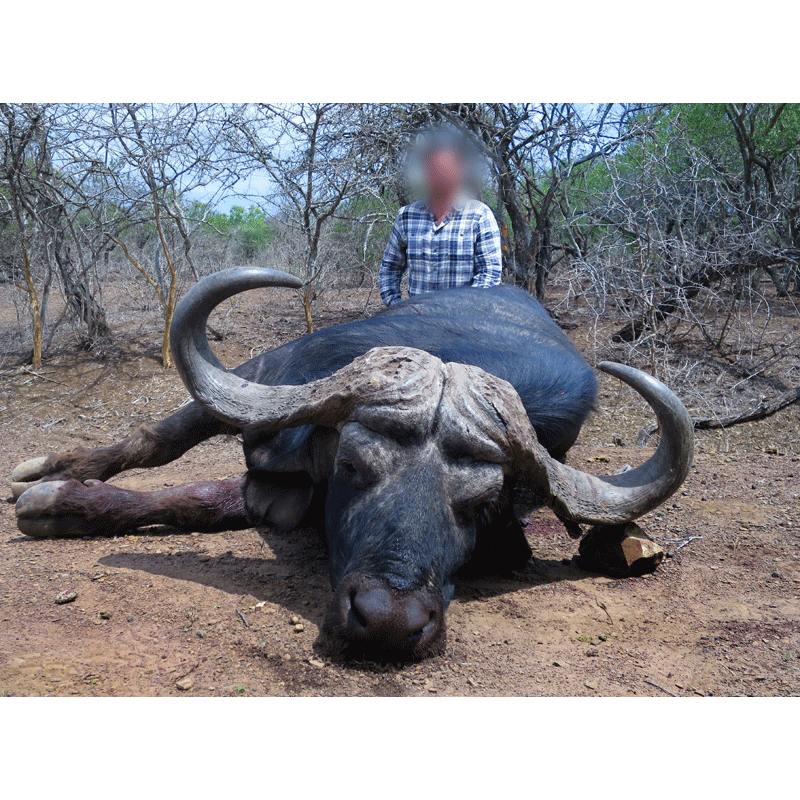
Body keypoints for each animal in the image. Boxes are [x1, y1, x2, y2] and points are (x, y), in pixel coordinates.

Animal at [10, 268, 692, 664]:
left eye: (479, 505)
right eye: (352, 467)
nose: (389, 621)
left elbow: (203, 497)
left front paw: (61, 502)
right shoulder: (267, 379)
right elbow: (159, 442)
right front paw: (51, 486)